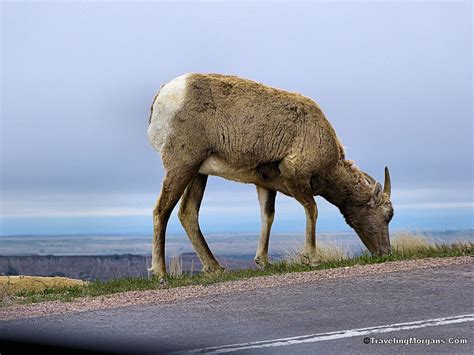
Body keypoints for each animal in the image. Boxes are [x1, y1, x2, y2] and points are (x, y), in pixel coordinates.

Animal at [147, 73, 392, 278]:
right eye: (387, 216)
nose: (386, 253)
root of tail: (165, 93)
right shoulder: (295, 176)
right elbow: (312, 210)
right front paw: (312, 259)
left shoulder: (265, 184)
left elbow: (268, 216)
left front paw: (263, 262)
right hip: (182, 166)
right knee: (162, 210)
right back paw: (161, 273)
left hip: (198, 173)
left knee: (187, 213)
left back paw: (215, 268)